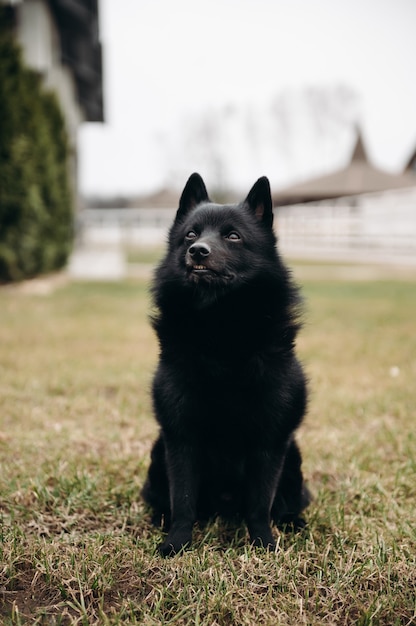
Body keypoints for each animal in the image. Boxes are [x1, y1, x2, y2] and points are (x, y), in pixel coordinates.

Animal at [142, 173, 308, 552]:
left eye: (233, 236)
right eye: (191, 234)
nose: (198, 251)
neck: (220, 329)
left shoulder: (270, 440)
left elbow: (260, 503)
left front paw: (263, 542)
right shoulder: (180, 438)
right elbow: (183, 500)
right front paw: (176, 542)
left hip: (292, 457)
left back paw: (293, 522)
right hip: (159, 453)